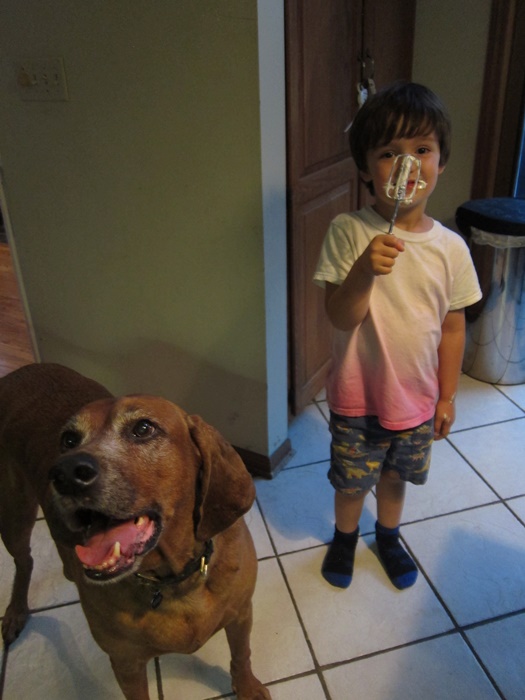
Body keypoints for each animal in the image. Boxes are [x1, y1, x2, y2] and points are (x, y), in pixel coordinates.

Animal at [0, 363, 270, 700]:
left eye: (143, 428)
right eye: (69, 440)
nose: (65, 473)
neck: (174, 580)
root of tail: (20, 371)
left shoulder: (241, 614)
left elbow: (241, 654)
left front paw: (247, 687)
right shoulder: (125, 662)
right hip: (13, 514)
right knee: (24, 561)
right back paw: (15, 610)